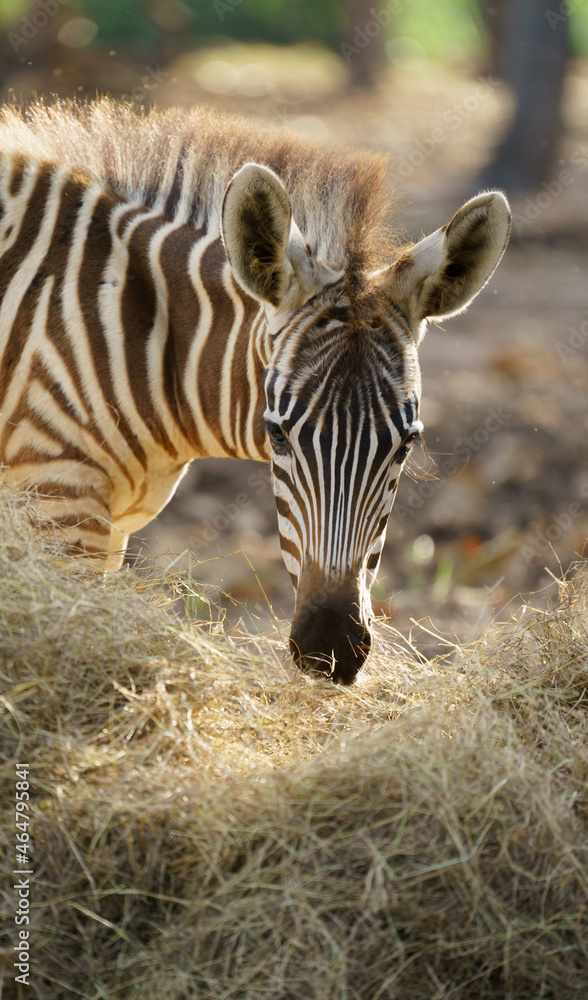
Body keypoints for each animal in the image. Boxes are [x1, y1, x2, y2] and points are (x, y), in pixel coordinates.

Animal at [0, 97, 510, 684]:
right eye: (278, 435)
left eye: (407, 445)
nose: (330, 647)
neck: (138, 331)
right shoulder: (56, 498)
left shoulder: (109, 525)